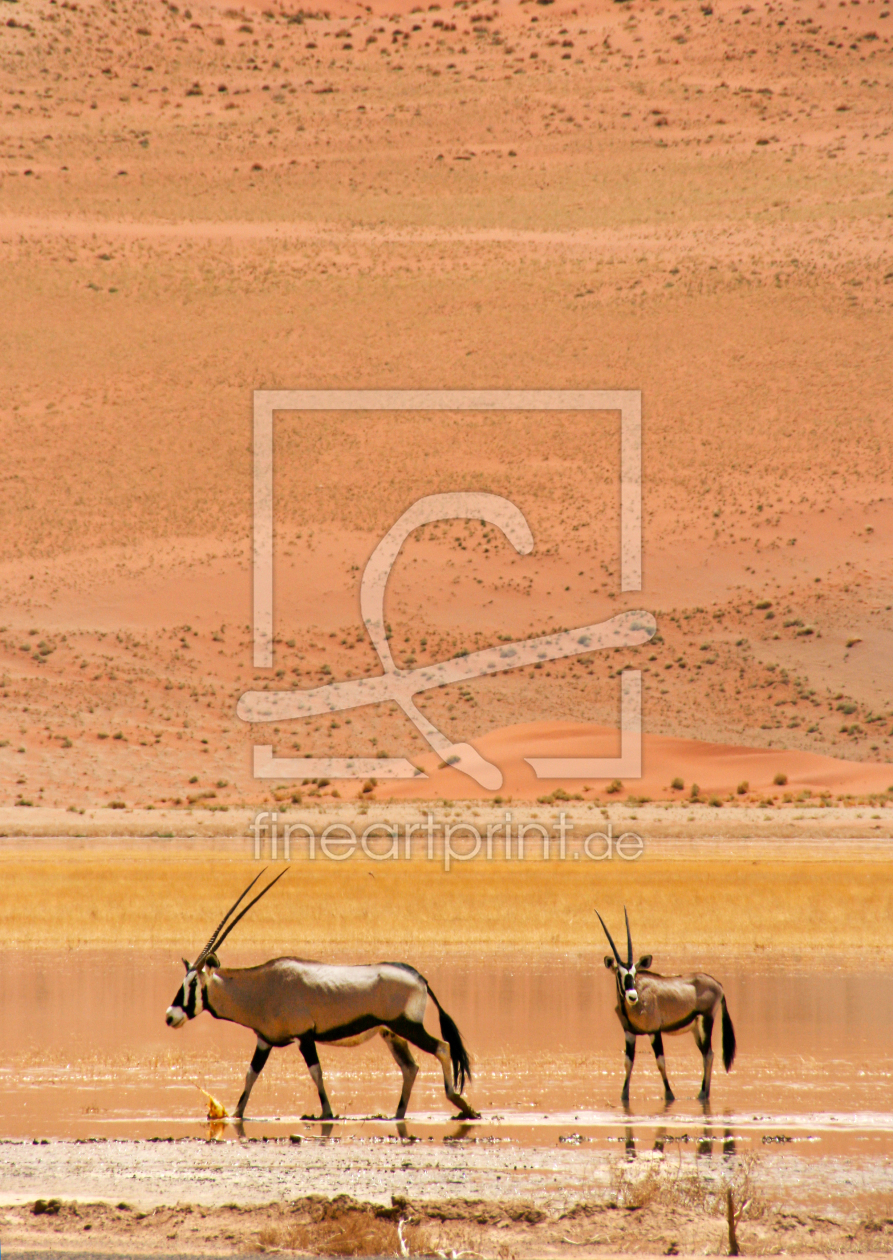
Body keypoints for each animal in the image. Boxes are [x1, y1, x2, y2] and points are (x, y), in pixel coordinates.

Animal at [162, 866, 476, 1123]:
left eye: (193, 984)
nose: (170, 1017)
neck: (263, 986)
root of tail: (419, 977)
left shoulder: (304, 1037)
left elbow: (316, 1072)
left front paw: (326, 1112)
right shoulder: (265, 1041)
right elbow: (251, 1074)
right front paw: (237, 1114)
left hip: (408, 1026)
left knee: (442, 1048)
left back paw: (461, 1104)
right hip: (392, 1034)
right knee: (410, 1067)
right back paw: (398, 1114)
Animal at [594, 907, 735, 1103]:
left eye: (635, 973)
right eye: (619, 974)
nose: (632, 996)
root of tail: (718, 985)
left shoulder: (654, 1031)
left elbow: (660, 1062)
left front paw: (670, 1095)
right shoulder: (629, 1032)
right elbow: (628, 1062)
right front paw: (624, 1095)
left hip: (706, 1021)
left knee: (708, 1055)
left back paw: (702, 1094)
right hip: (695, 1029)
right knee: (707, 1054)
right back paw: (704, 1092)